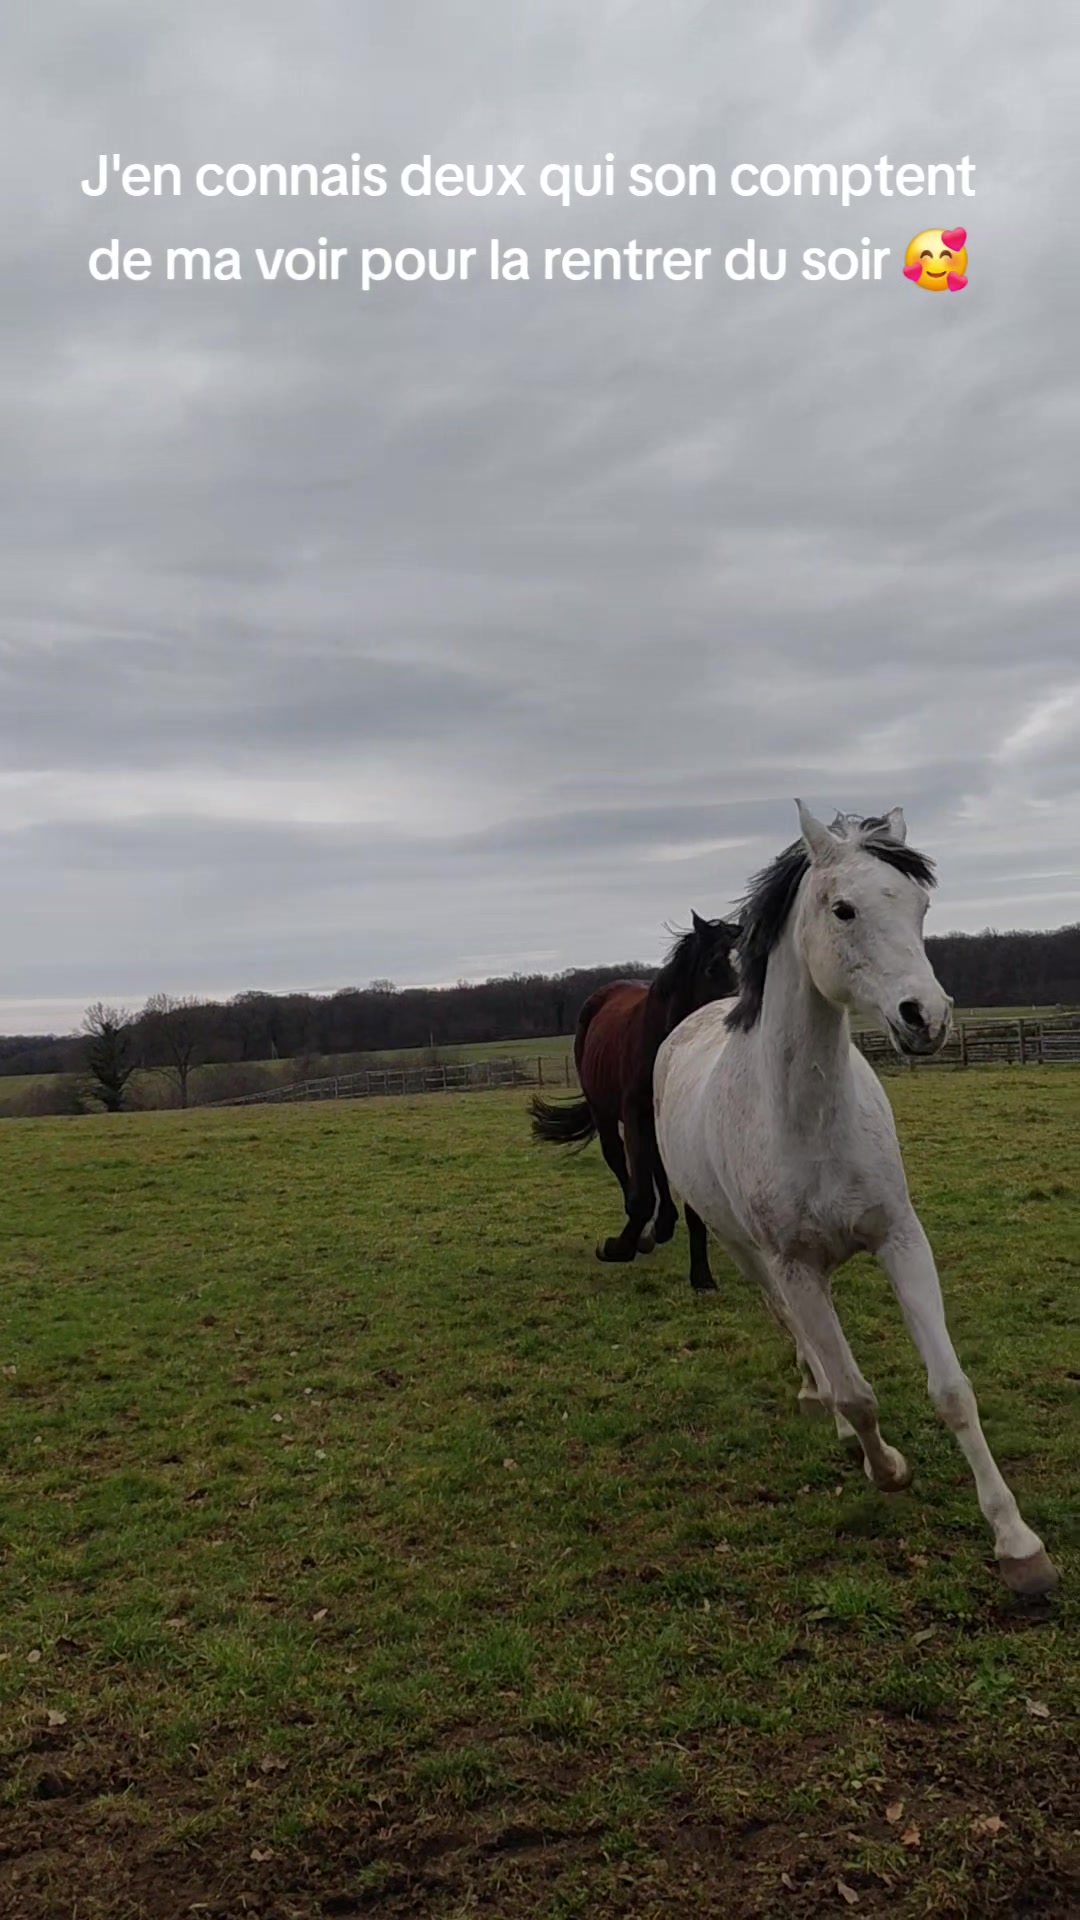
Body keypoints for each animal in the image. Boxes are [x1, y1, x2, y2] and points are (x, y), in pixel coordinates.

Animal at [530, 913, 740, 1281]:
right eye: (712, 967)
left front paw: (700, 1273)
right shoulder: (634, 1113)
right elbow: (640, 1192)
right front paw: (621, 1246)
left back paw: (662, 1227)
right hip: (605, 1112)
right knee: (618, 1159)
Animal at [654, 803, 1058, 1601]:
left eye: (920, 907)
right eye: (843, 909)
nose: (925, 1016)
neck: (810, 1118)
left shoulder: (901, 1239)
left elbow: (953, 1389)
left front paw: (1018, 1544)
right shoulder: (795, 1265)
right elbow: (857, 1393)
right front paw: (889, 1468)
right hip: (748, 1254)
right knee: (799, 1335)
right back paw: (829, 1414)